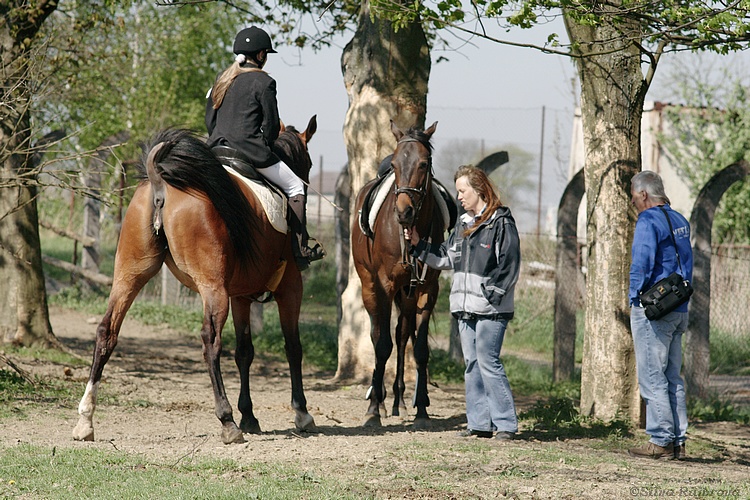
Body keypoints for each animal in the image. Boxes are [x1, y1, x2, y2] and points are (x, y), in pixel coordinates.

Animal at [70, 118, 318, 446]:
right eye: (309, 163)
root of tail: (160, 181)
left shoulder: (241, 295)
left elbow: (245, 352)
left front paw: (250, 415)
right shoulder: (290, 288)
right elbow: (293, 347)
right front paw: (301, 413)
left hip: (129, 275)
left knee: (106, 331)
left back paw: (85, 420)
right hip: (213, 289)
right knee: (210, 340)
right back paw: (227, 422)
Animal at [352, 119, 446, 428]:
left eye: (424, 164)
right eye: (394, 164)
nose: (403, 211)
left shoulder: (427, 289)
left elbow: (420, 348)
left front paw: (422, 408)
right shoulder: (384, 285)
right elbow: (382, 345)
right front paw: (373, 411)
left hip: (407, 294)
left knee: (403, 335)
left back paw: (399, 401)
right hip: (369, 286)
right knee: (377, 335)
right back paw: (379, 400)